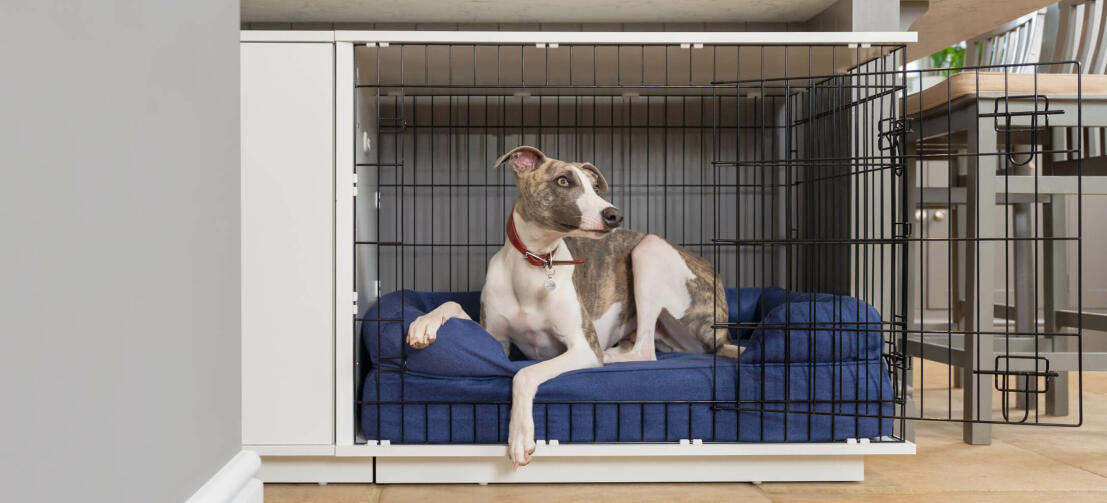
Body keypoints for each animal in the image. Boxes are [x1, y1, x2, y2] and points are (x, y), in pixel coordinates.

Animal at [402, 145, 739, 467]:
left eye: (595, 187)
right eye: (563, 181)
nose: (615, 216)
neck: (536, 264)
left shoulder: (581, 346)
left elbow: (524, 374)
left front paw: (520, 436)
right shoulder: (495, 338)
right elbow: (454, 304)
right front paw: (423, 323)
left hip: (650, 249)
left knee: (645, 352)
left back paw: (612, 356)